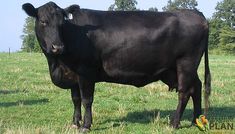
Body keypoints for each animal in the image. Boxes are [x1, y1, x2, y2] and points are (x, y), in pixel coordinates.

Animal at [23, 1, 212, 132]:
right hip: (175, 69)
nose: (57, 46)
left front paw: (86, 125)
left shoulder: (85, 72)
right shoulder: (72, 75)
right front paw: (75, 123)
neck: (58, 63)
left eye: (61, 23)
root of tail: (196, 14)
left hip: (186, 63)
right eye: (43, 22)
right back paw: (196, 120)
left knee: (184, 92)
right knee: (196, 87)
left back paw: (174, 123)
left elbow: (86, 100)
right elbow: (75, 100)